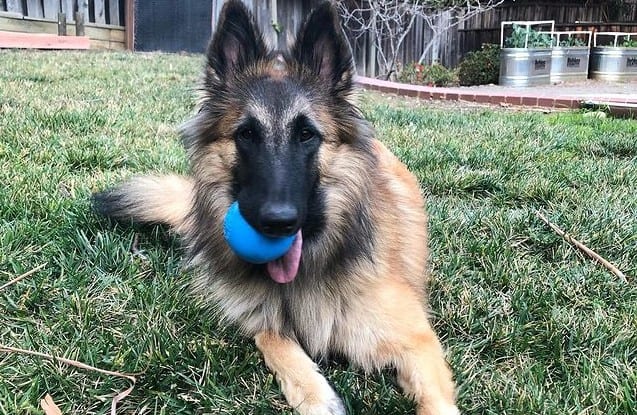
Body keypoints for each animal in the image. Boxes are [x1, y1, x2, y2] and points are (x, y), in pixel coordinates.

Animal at [92, 1, 458, 414]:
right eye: (246, 134)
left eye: (307, 135)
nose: (277, 223)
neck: (309, 268)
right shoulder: (259, 316)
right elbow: (275, 339)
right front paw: (315, 394)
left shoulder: (417, 342)